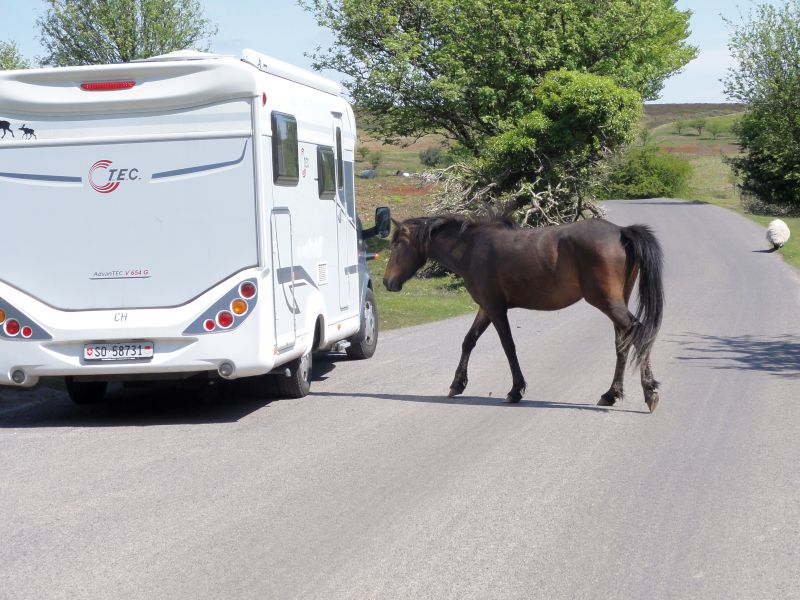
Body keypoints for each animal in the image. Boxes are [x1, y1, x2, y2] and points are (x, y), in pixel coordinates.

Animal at [384, 211, 664, 412]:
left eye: (396, 245)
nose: (388, 282)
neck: (472, 248)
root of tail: (621, 232)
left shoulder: (495, 309)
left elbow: (508, 346)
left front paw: (515, 391)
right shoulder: (486, 308)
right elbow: (469, 341)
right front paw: (457, 384)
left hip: (607, 303)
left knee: (638, 333)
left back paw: (649, 391)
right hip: (616, 303)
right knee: (623, 343)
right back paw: (610, 395)